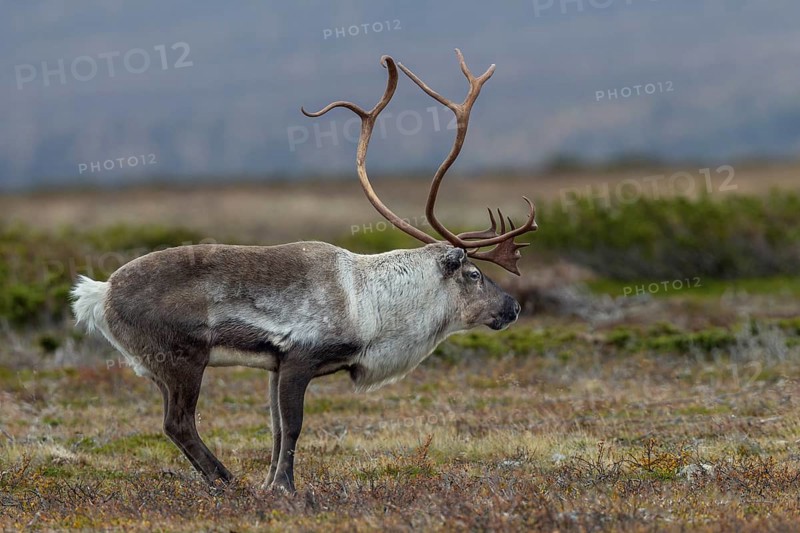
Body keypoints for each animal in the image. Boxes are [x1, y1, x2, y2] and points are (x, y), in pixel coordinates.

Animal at [71, 49, 538, 494]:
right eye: (473, 273)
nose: (513, 307)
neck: (372, 302)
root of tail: (99, 292)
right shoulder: (299, 357)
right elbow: (293, 426)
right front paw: (284, 487)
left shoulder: (275, 366)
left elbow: (276, 429)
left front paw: (270, 483)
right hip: (182, 359)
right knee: (177, 423)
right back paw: (226, 481)